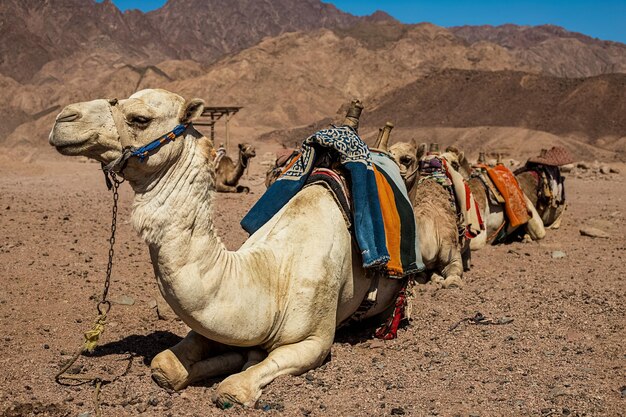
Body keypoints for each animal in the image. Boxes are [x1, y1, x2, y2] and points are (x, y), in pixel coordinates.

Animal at [46, 88, 402, 406]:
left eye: (139, 118)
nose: (64, 118)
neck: (273, 276)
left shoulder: (314, 341)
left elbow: (235, 386)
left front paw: (238, 375)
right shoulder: (215, 324)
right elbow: (166, 365)